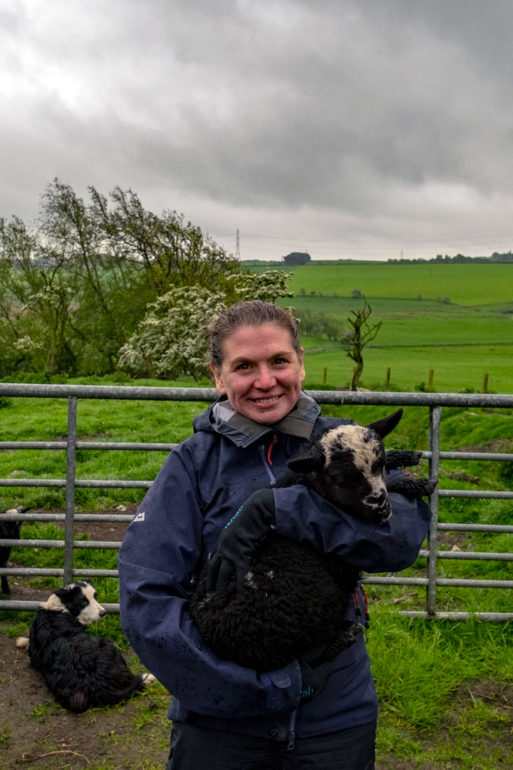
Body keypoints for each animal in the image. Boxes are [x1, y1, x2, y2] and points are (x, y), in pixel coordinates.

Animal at [190, 408, 434, 672]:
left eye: (379, 465)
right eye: (340, 477)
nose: (382, 510)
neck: (311, 484)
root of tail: (217, 640)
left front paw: (404, 458)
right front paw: (415, 483)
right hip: (312, 609)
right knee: (309, 657)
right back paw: (345, 635)